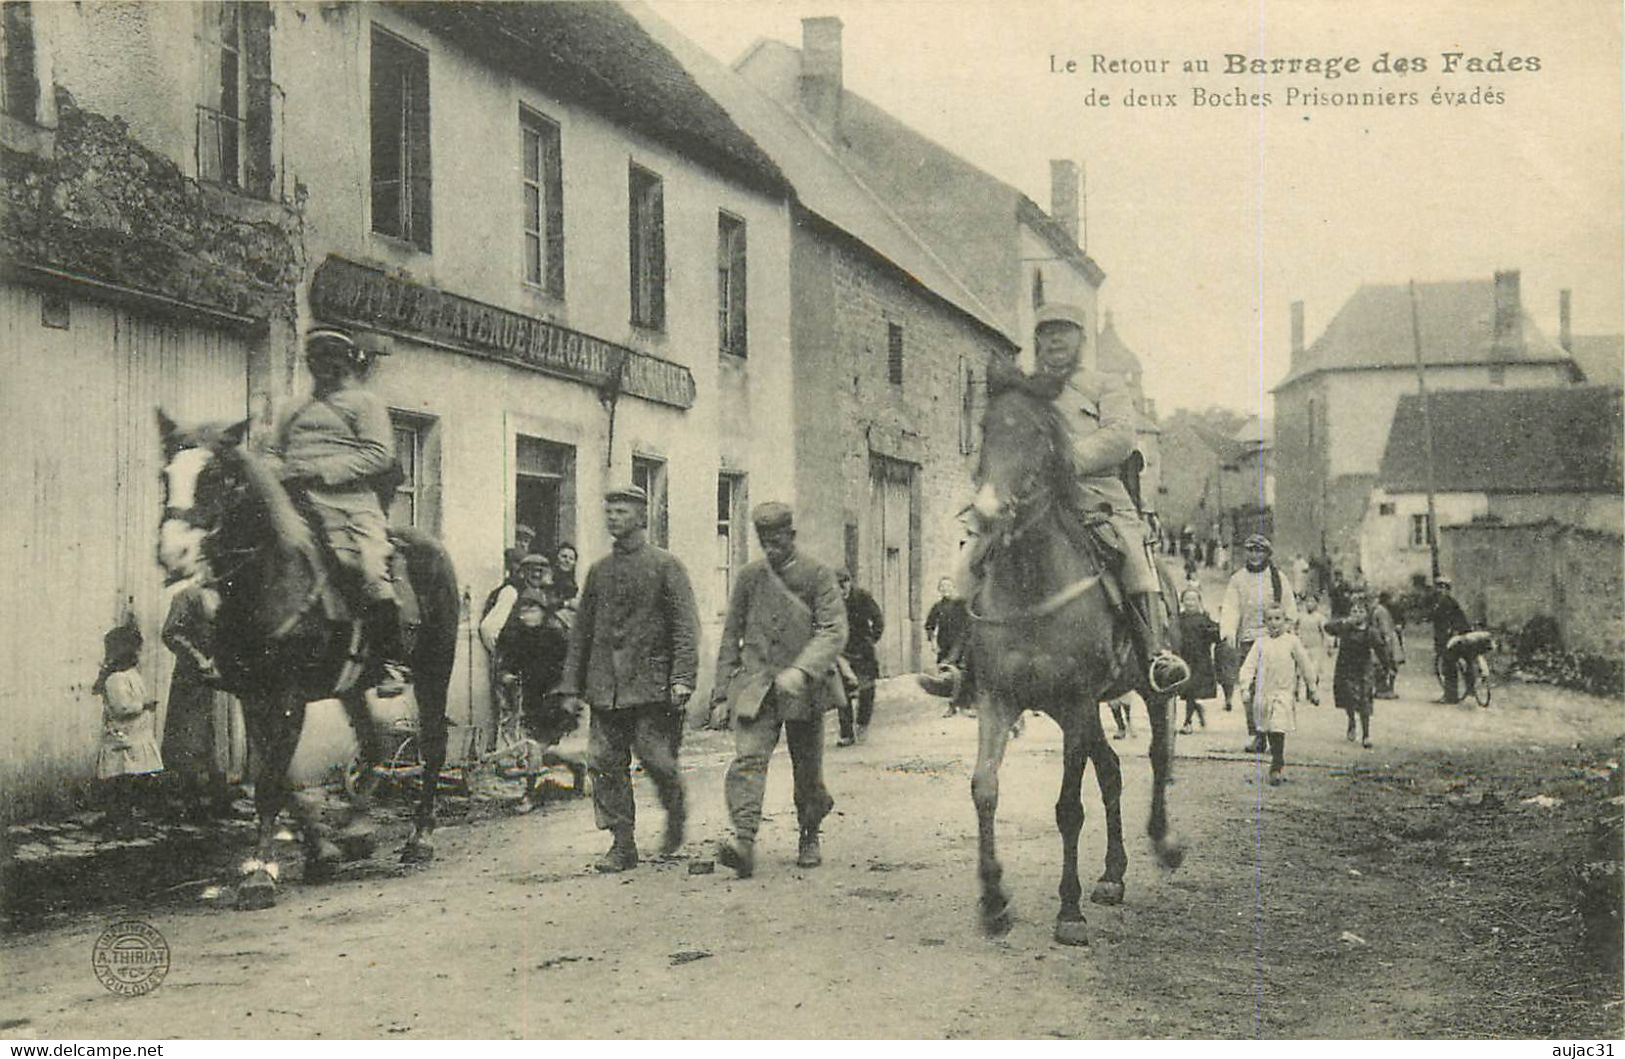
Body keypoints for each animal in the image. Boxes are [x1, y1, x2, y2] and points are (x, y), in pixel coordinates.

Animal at [153, 414, 458, 909]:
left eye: (215, 478)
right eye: (165, 476)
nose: (173, 553)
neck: (268, 583)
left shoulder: (287, 697)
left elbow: (272, 783)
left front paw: (259, 876)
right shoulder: (252, 697)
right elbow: (281, 780)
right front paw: (321, 852)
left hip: (436, 669)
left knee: (431, 745)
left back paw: (420, 838)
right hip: (354, 684)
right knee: (373, 745)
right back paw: (357, 829)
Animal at [955, 371, 1189, 942]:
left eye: (1039, 435)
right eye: (986, 427)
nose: (987, 512)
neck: (1031, 583)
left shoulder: (1079, 701)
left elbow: (1067, 808)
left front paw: (1069, 910)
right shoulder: (998, 700)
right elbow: (984, 789)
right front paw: (994, 899)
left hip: (1143, 695)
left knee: (1158, 757)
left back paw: (1162, 843)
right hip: (1073, 714)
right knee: (1111, 771)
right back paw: (1112, 874)